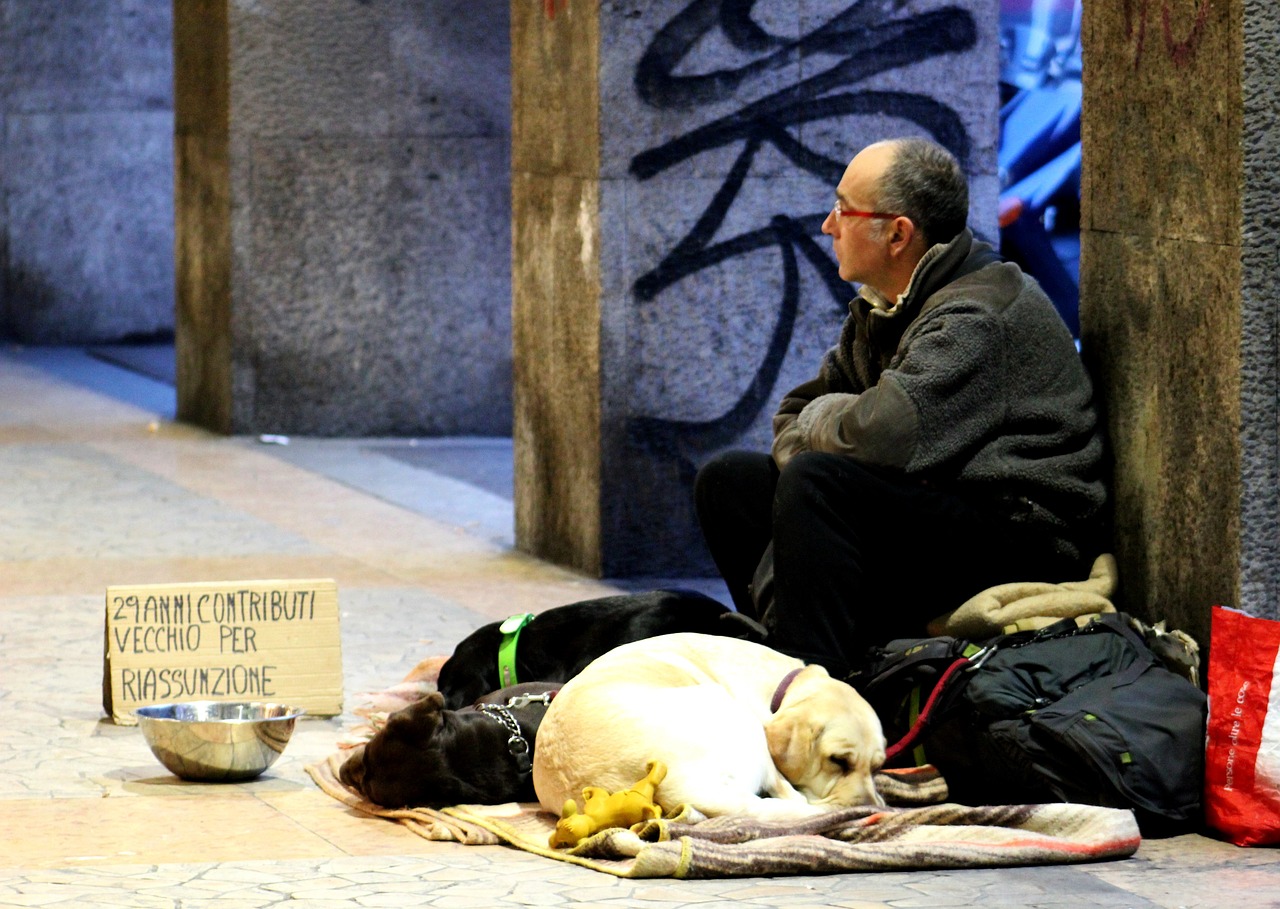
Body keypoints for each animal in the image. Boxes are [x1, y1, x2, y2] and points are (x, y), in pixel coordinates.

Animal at [535, 635, 885, 824]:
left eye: (877, 767)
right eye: (838, 761)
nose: (872, 806)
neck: (782, 686)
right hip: (732, 711)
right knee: (788, 794)